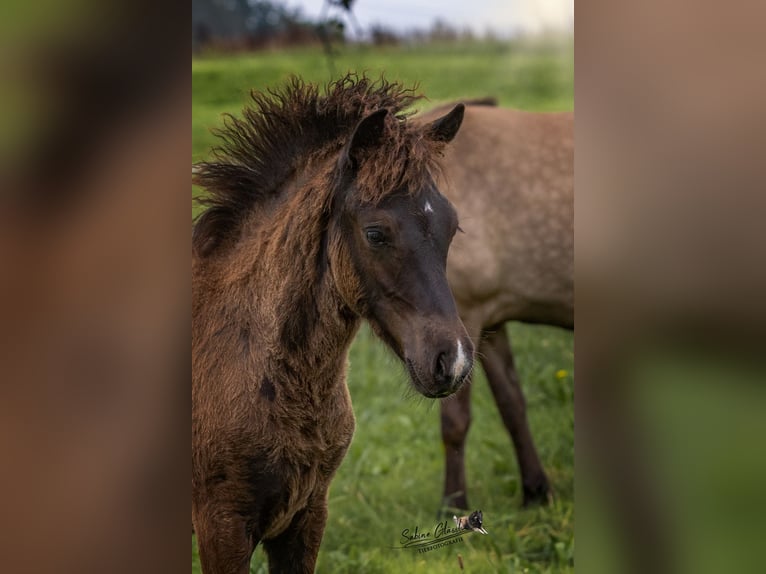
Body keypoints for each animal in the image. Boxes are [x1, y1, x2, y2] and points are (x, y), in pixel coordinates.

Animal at [416, 101, 572, 510]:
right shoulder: (490, 322)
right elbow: (512, 405)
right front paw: (536, 490)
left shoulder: (465, 319)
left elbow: (455, 419)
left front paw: (453, 504)